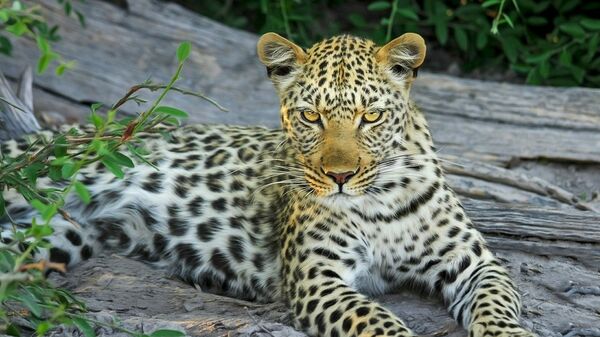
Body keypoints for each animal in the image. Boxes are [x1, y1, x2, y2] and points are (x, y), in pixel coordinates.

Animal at [0, 32, 536, 336]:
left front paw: (512, 333)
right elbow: (378, 321)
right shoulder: (318, 278)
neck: (379, 198)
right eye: (311, 116)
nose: (340, 177)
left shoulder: (474, 263)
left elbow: (497, 304)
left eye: (371, 117)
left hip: (55, 236)